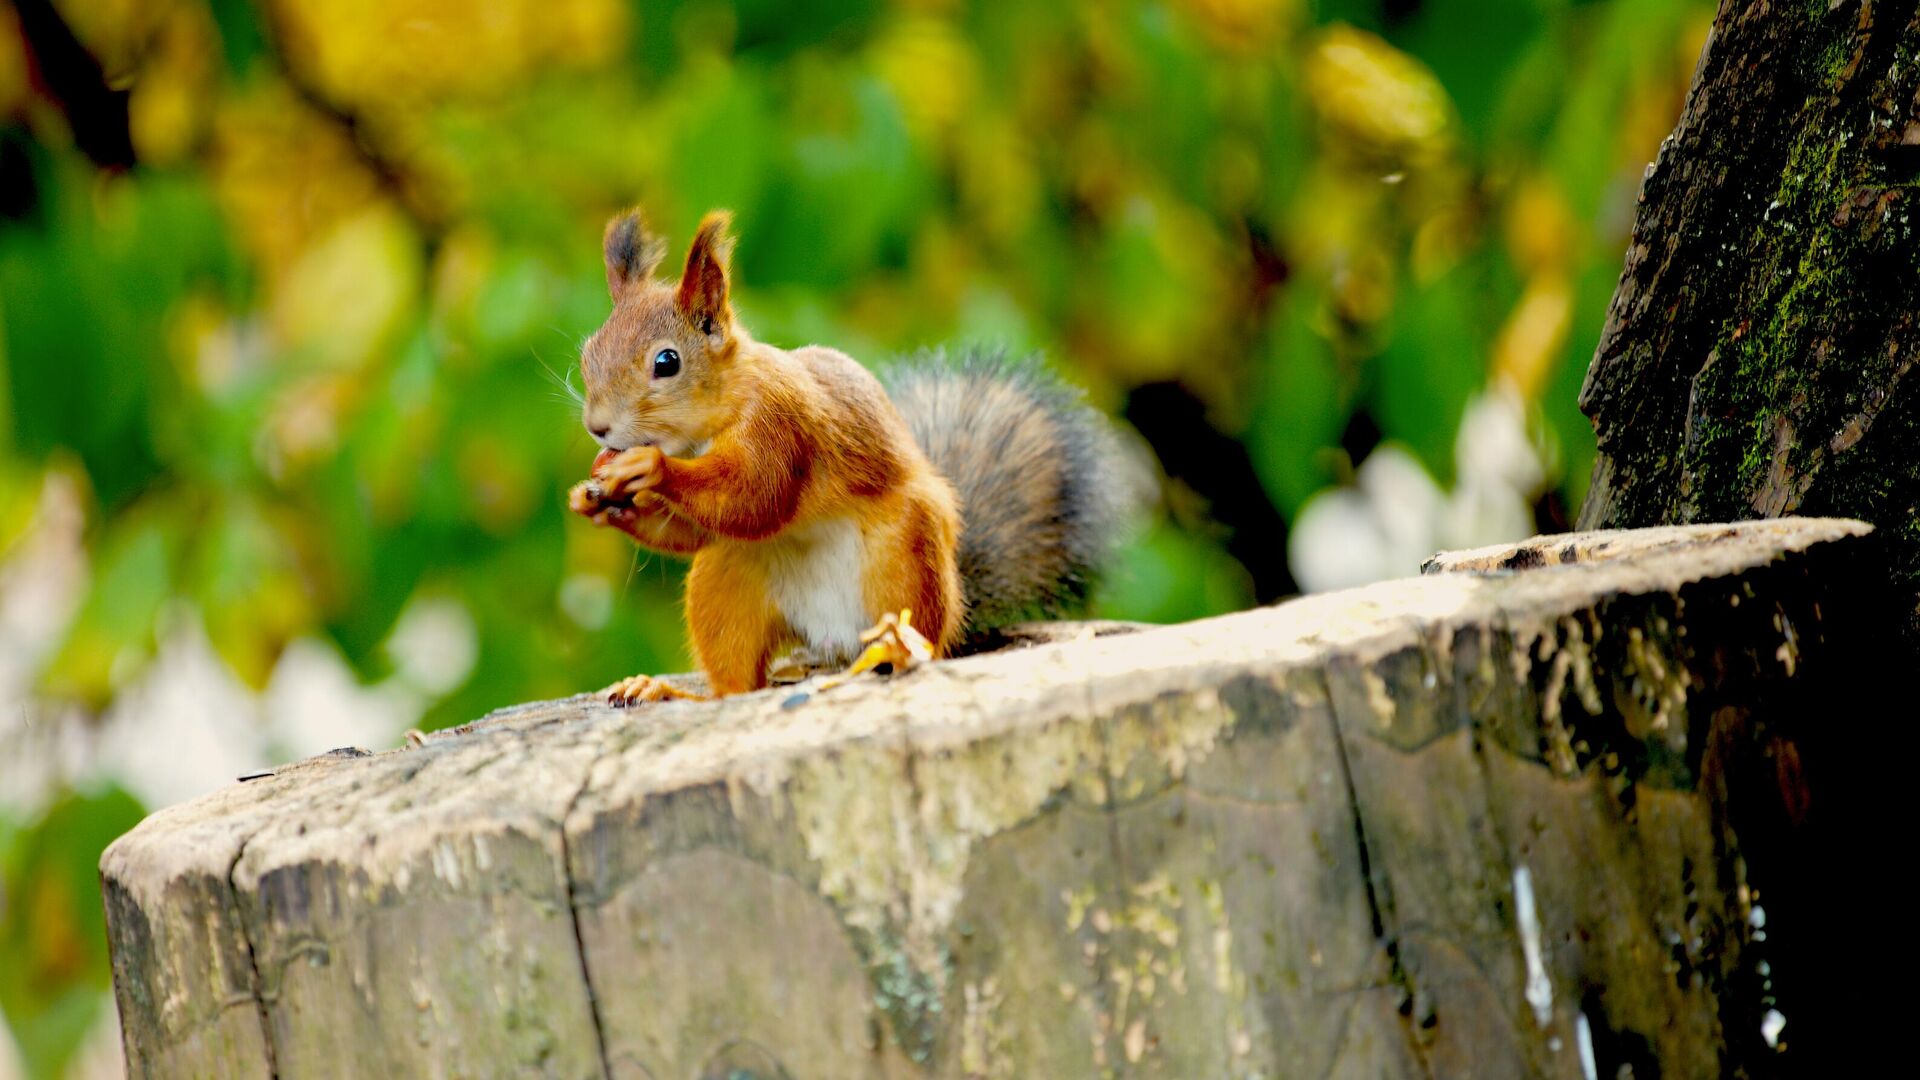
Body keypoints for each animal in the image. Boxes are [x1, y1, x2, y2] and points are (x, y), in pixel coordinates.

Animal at [568, 205, 1136, 703]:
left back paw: (899, 653)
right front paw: (595, 498)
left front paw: (649, 467)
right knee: (738, 684)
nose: (598, 427)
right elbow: (698, 530)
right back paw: (668, 692)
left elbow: (753, 497)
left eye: (667, 362)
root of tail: (836, 643)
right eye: (587, 353)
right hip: (728, 582)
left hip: (905, 561)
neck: (715, 416)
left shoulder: (779, 424)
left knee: (918, 640)